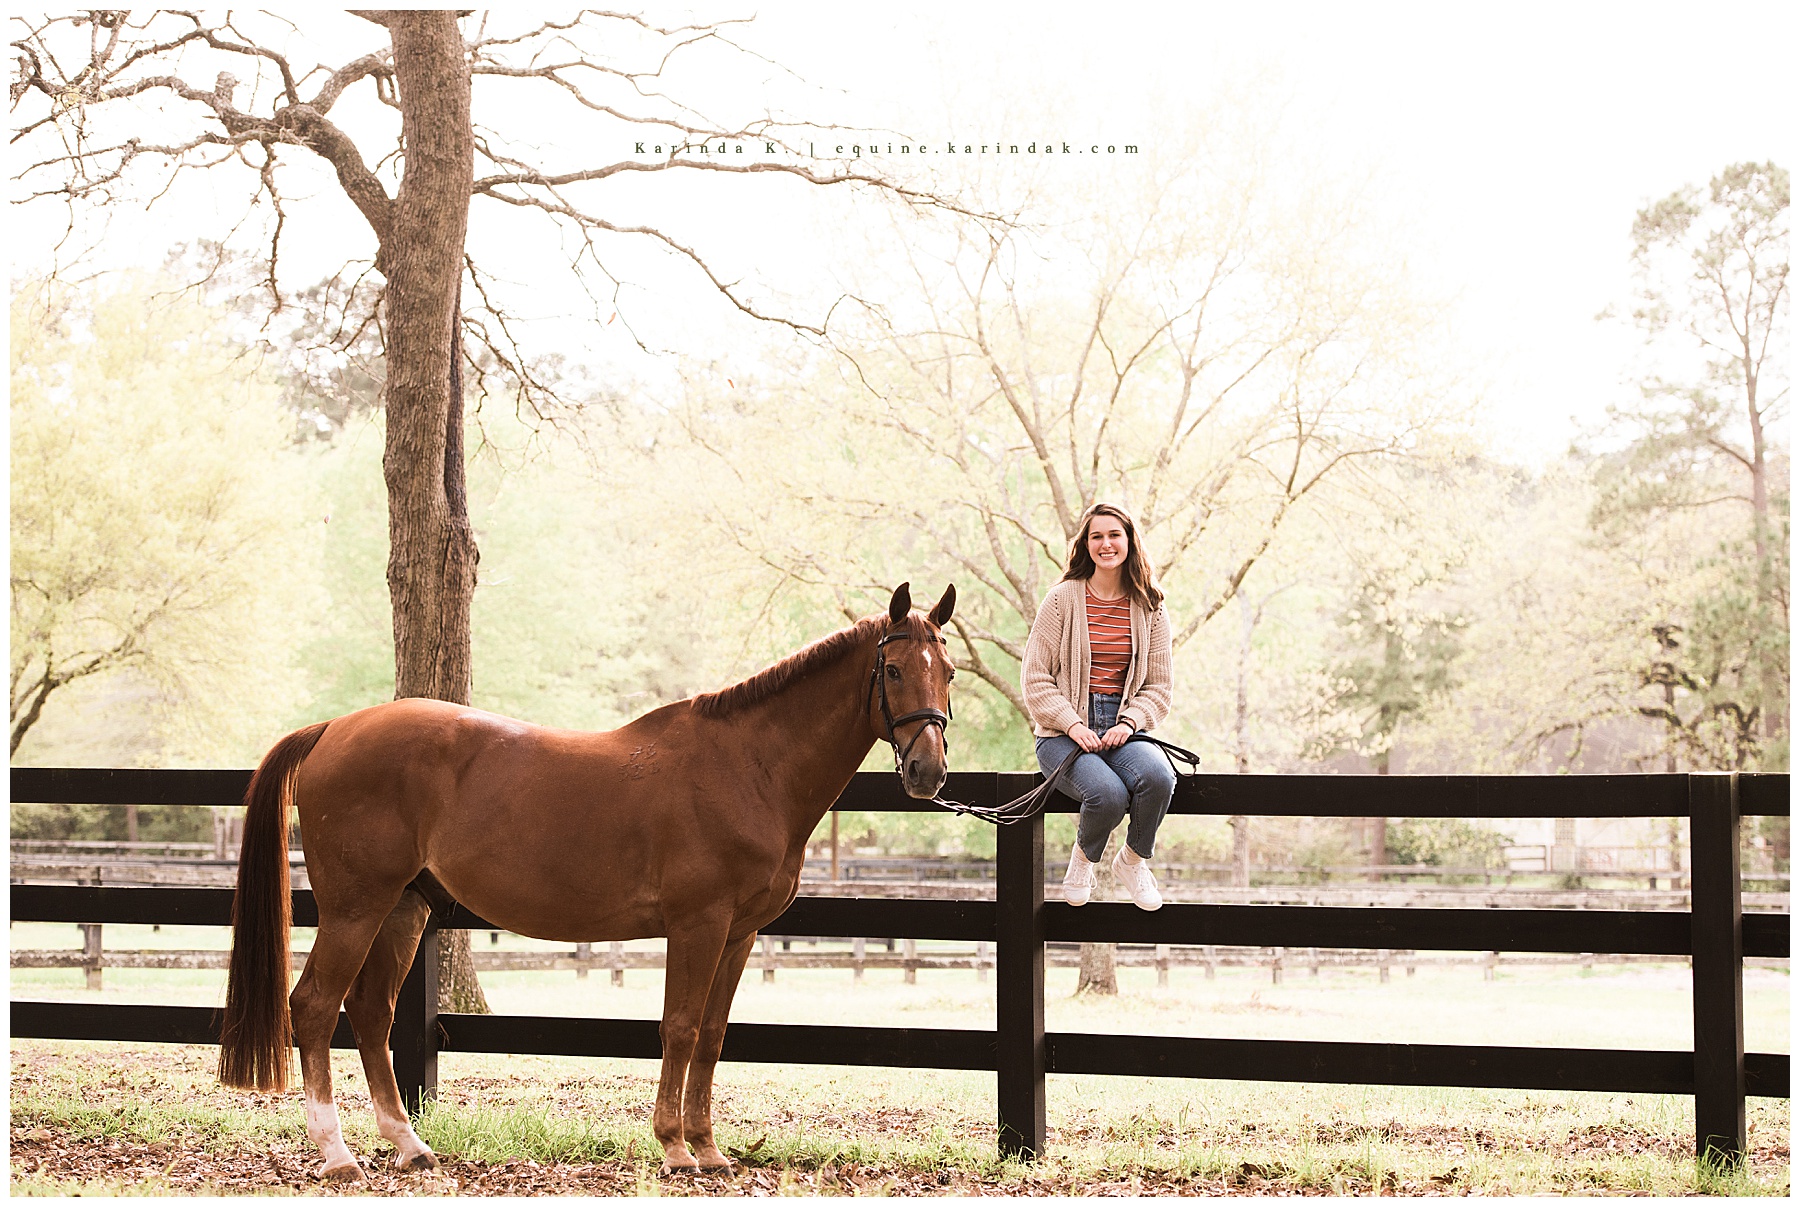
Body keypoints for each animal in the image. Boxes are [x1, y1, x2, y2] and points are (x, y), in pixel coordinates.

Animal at [219, 582, 958, 1180]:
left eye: (948, 671)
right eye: (894, 668)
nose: (928, 771)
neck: (748, 766)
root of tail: (330, 731)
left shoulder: (740, 933)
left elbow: (713, 1034)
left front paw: (709, 1147)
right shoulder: (699, 923)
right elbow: (681, 1026)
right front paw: (676, 1147)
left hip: (403, 908)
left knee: (371, 1012)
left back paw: (409, 1145)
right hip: (355, 908)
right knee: (314, 1006)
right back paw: (337, 1153)